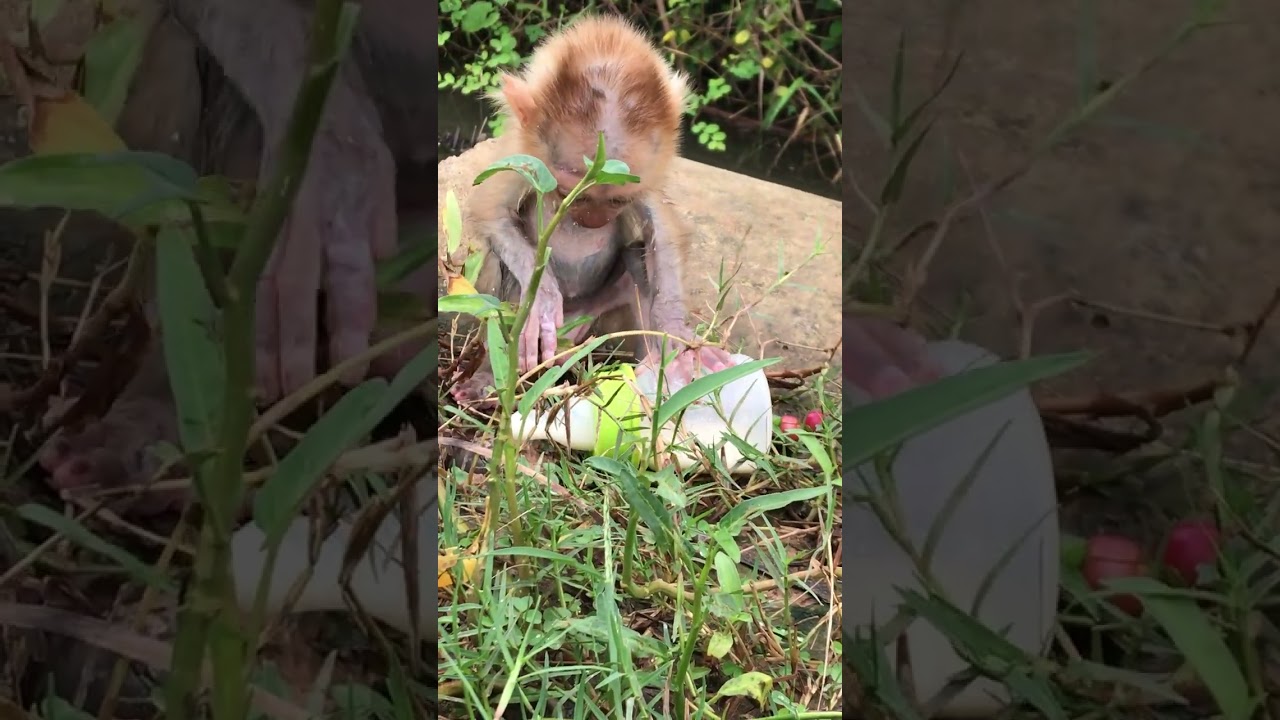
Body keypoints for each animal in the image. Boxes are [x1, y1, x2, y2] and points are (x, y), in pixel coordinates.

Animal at [449, 15, 734, 404]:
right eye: (573, 194)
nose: (593, 222)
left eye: (615, 201)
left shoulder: (646, 177)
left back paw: (653, 369)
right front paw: (542, 298)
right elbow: (489, 211)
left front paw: (677, 333)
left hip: (599, 322)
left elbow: (662, 231)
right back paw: (488, 378)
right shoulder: (522, 156)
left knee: (634, 263)